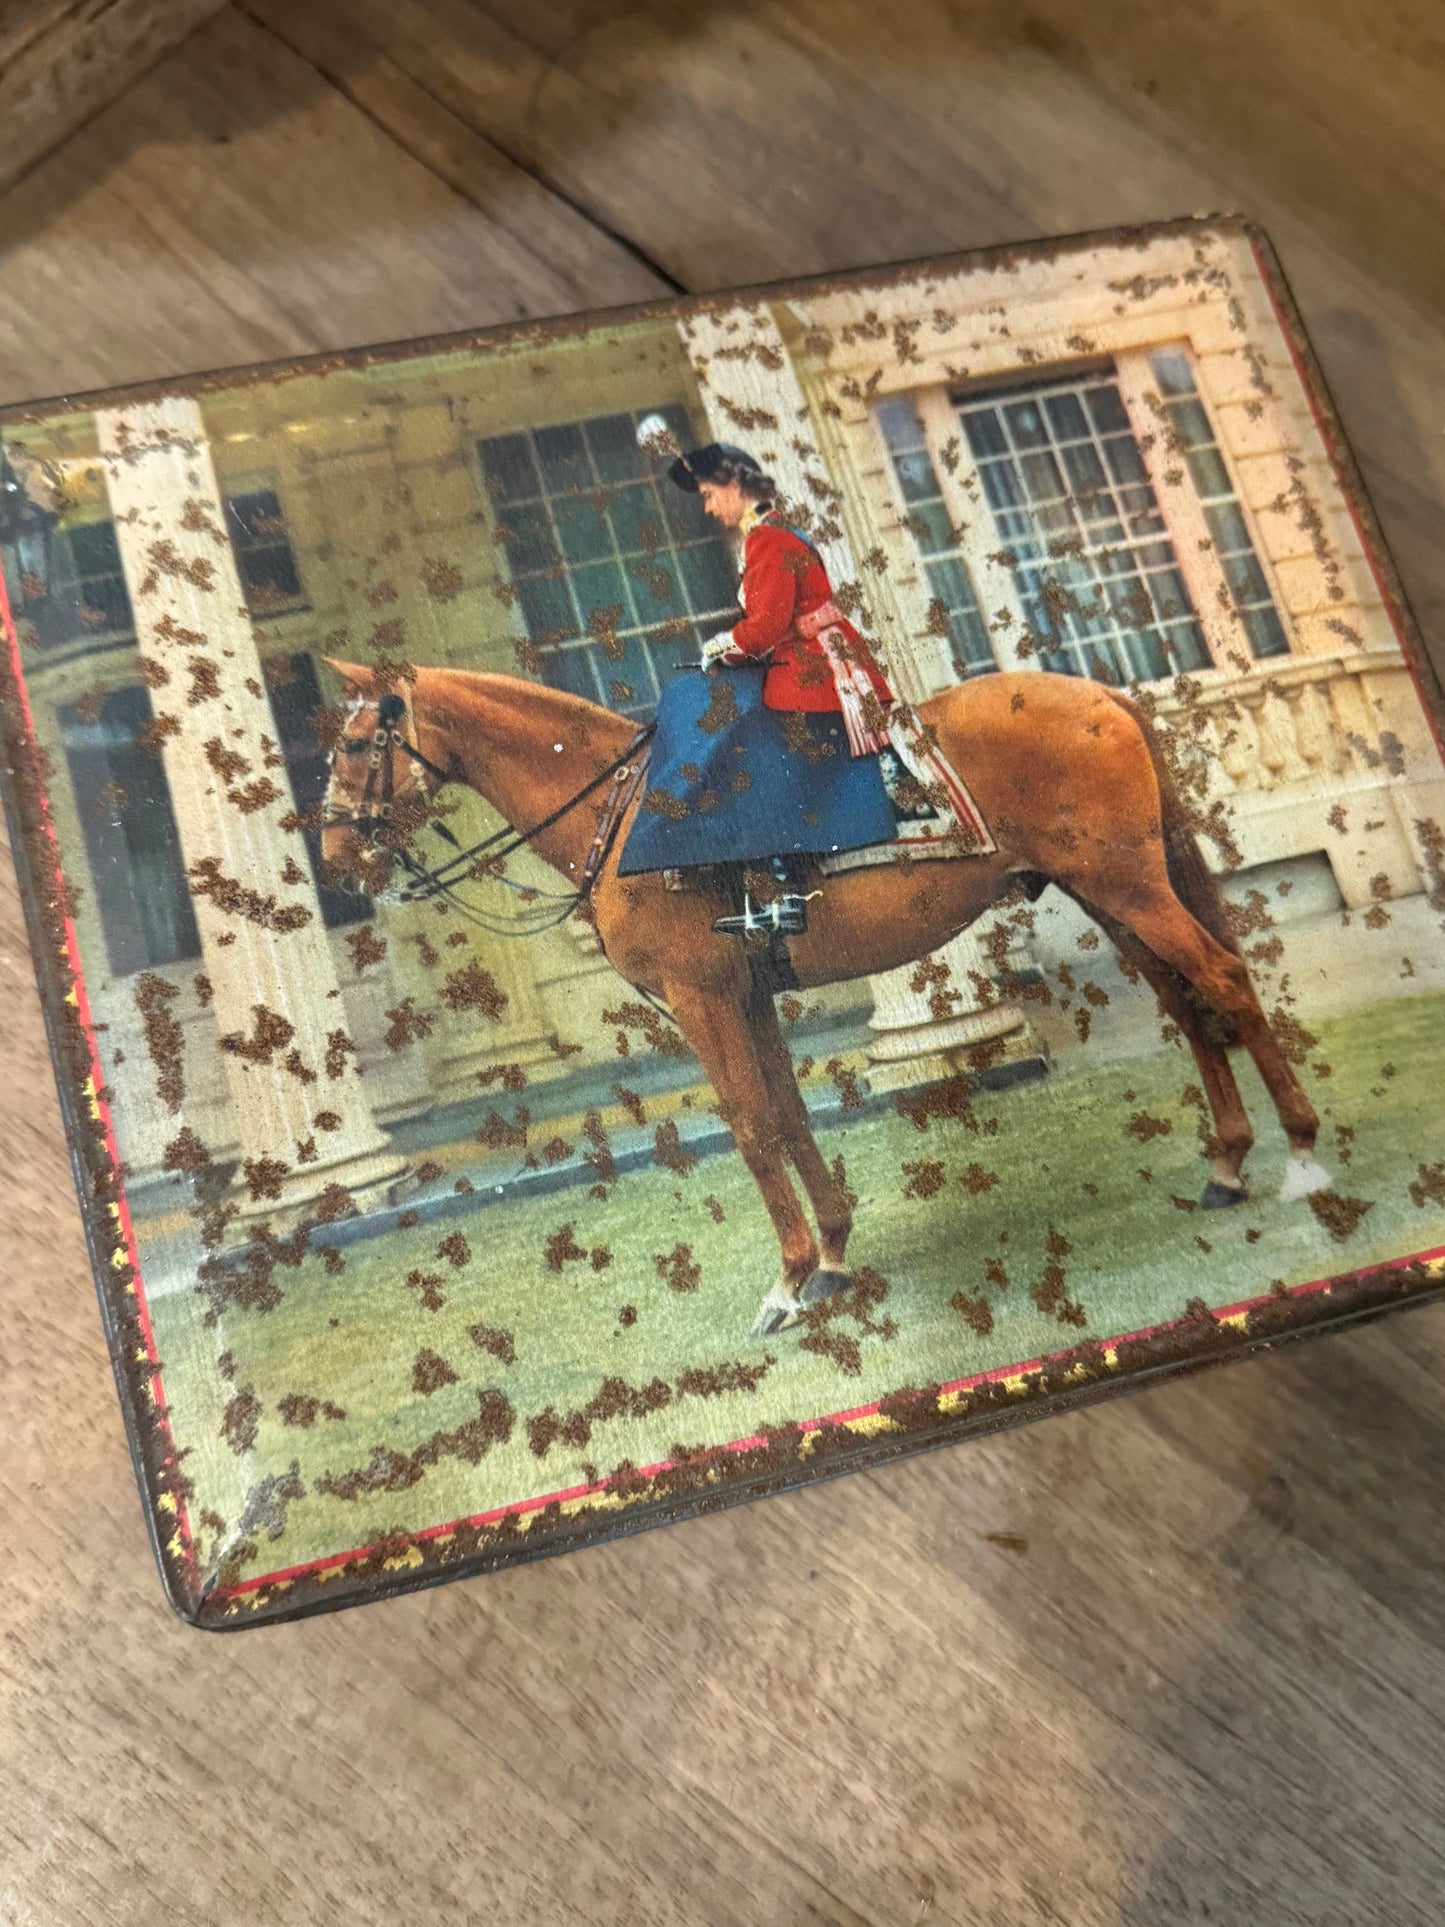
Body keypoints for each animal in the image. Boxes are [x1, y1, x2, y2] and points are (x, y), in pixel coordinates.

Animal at [321, 655, 1333, 1333]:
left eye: (361, 741)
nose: (332, 858)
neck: (629, 817)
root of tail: (1101, 691)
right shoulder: (747, 993)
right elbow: (787, 1114)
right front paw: (834, 1259)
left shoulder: (702, 998)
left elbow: (749, 1125)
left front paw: (789, 1279)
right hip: (1106, 893)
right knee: (1184, 1001)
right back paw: (1226, 1163)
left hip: (1128, 886)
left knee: (1221, 979)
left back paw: (1300, 1153)